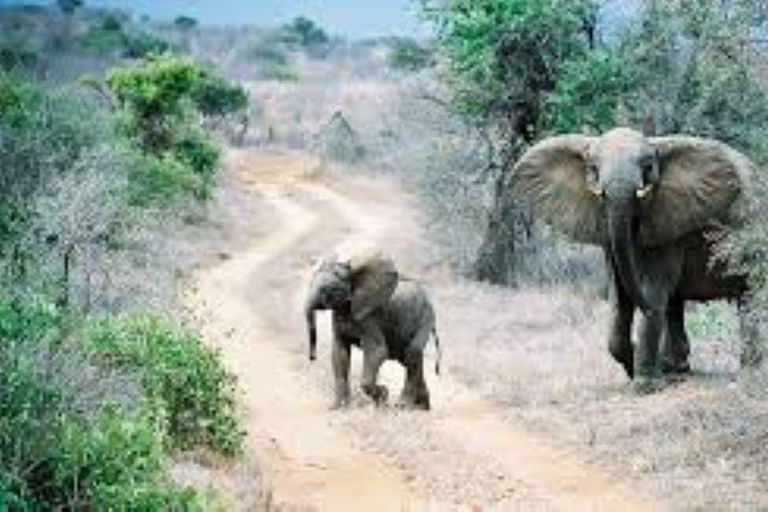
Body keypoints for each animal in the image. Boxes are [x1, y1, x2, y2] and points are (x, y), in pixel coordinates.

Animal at [304, 252, 440, 412]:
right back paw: (422, 406)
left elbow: (377, 351)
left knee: (412, 353)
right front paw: (338, 408)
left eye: (330, 289)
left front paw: (383, 396)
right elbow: (339, 353)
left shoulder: (370, 318)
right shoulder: (339, 317)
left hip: (425, 318)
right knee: (409, 359)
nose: (312, 357)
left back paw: (403, 406)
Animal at [516, 127, 756, 392]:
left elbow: (652, 290)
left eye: (648, 167)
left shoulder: (669, 222)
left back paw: (748, 371)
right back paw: (677, 368)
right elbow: (620, 295)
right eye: (593, 169)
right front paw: (641, 364)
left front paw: (645, 386)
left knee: (748, 297)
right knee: (675, 304)